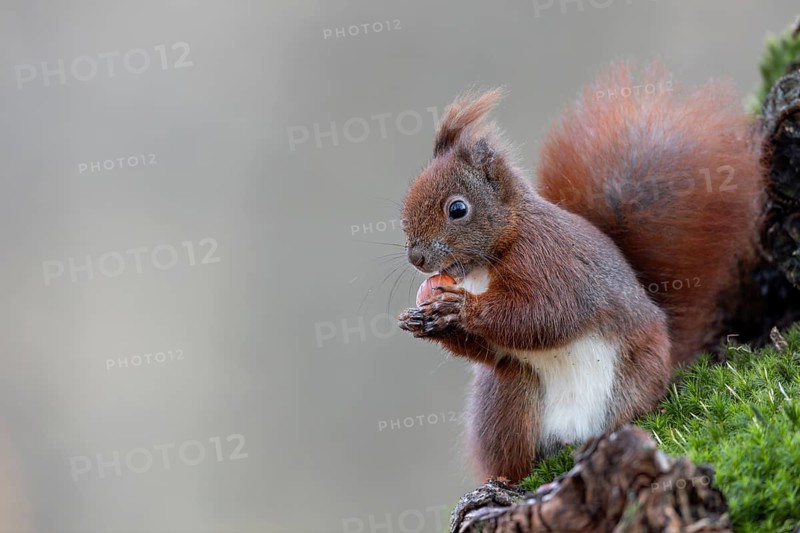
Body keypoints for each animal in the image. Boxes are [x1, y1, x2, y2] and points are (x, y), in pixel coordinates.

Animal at [397, 63, 765, 483]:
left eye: (457, 209)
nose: (417, 258)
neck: (489, 261)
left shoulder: (553, 264)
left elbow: (547, 315)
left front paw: (459, 309)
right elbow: (492, 347)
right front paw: (423, 321)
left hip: (632, 380)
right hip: (512, 396)